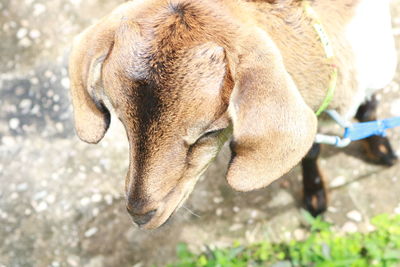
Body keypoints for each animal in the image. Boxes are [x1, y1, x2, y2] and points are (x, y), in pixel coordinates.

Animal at [69, 0, 396, 230]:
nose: (140, 214)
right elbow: (312, 148)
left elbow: (368, 107)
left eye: (210, 132)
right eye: (123, 123)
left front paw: (381, 149)